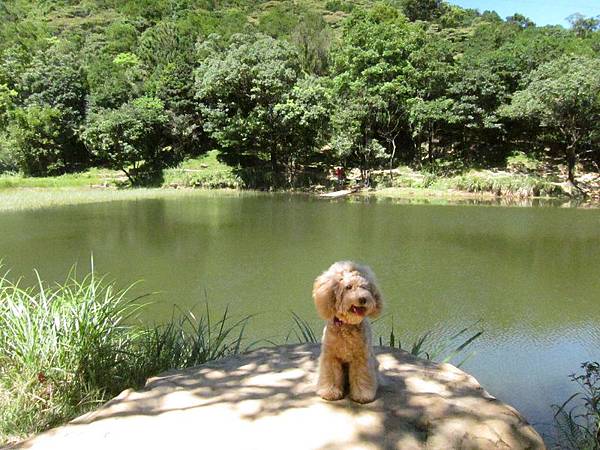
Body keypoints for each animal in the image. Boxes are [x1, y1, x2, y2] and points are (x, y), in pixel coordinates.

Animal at [312, 261, 383, 403]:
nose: (363, 299)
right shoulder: (331, 357)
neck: (347, 325)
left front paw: (362, 395)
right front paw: (330, 392)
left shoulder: (361, 358)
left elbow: (361, 377)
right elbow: (331, 376)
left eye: (364, 287)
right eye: (348, 287)